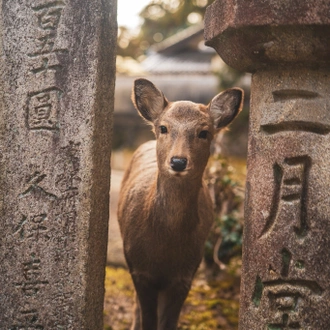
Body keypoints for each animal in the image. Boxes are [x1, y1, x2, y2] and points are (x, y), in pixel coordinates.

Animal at [117, 78, 244, 330]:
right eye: (163, 128)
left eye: (204, 132)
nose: (177, 161)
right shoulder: (139, 269)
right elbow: (148, 319)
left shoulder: (186, 273)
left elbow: (168, 322)